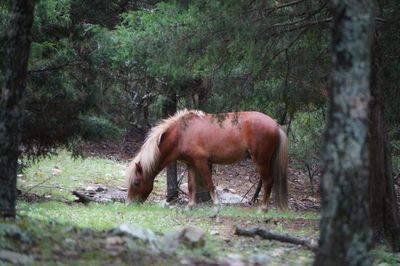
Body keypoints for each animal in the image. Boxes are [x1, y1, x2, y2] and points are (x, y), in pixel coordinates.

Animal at [127, 109, 288, 210]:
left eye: (136, 182)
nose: (130, 204)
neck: (181, 134)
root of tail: (276, 125)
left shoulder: (202, 161)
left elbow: (209, 183)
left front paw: (217, 205)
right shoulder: (191, 163)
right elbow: (191, 186)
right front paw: (190, 206)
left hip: (261, 160)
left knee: (268, 181)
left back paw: (263, 208)